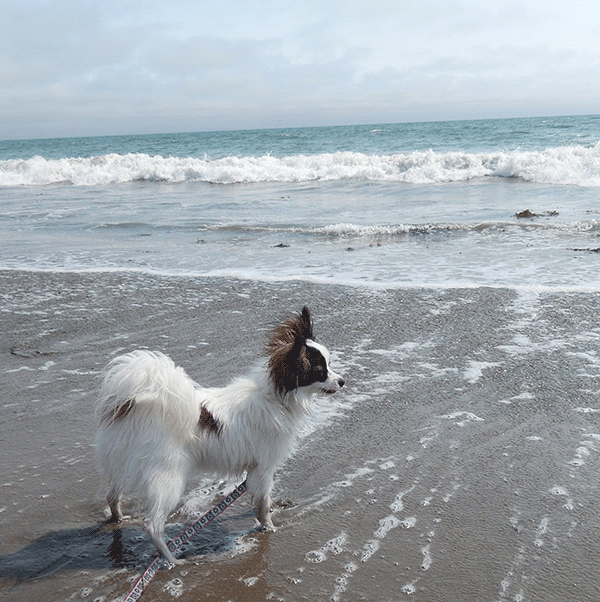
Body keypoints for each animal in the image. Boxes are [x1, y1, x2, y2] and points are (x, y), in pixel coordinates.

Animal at [96, 304, 344, 564]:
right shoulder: (264, 466)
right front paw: (269, 527)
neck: (275, 398)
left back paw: (119, 519)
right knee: (152, 524)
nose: (343, 381)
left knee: (112, 496)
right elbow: (263, 502)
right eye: (320, 371)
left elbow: (264, 498)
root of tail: (136, 407)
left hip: (123, 465)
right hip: (168, 477)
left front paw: (275, 508)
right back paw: (172, 560)